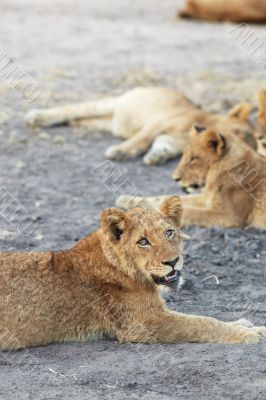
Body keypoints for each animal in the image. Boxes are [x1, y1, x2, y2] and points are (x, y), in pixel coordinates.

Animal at [1, 195, 264, 348]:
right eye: (143, 241)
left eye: (169, 232)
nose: (173, 261)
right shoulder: (143, 324)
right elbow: (202, 323)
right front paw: (251, 333)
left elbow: (206, 318)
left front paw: (243, 322)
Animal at [25, 87, 256, 166]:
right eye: (241, 133)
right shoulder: (159, 122)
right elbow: (142, 138)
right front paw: (120, 151)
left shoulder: (173, 139)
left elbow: (162, 143)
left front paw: (157, 156)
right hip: (110, 103)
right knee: (72, 109)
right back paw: (36, 117)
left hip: (105, 121)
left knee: (79, 119)